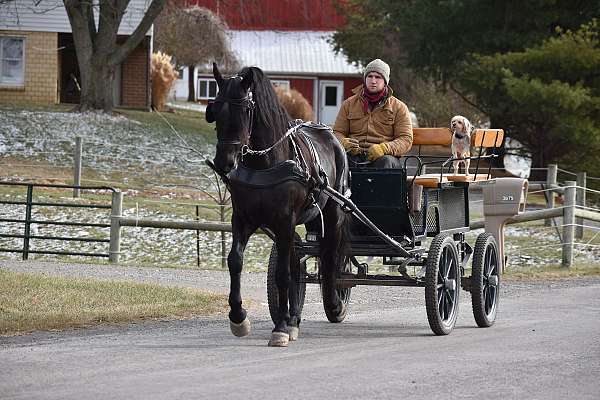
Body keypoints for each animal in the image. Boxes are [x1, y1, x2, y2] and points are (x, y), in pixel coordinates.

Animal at [206, 63, 350, 346]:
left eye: (246, 110)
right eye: (215, 109)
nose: (224, 162)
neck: (264, 164)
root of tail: (330, 135)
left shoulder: (285, 221)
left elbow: (284, 274)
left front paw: (281, 327)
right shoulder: (243, 219)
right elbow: (236, 261)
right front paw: (239, 317)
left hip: (332, 213)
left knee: (329, 257)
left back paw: (333, 303)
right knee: (296, 264)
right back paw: (294, 318)